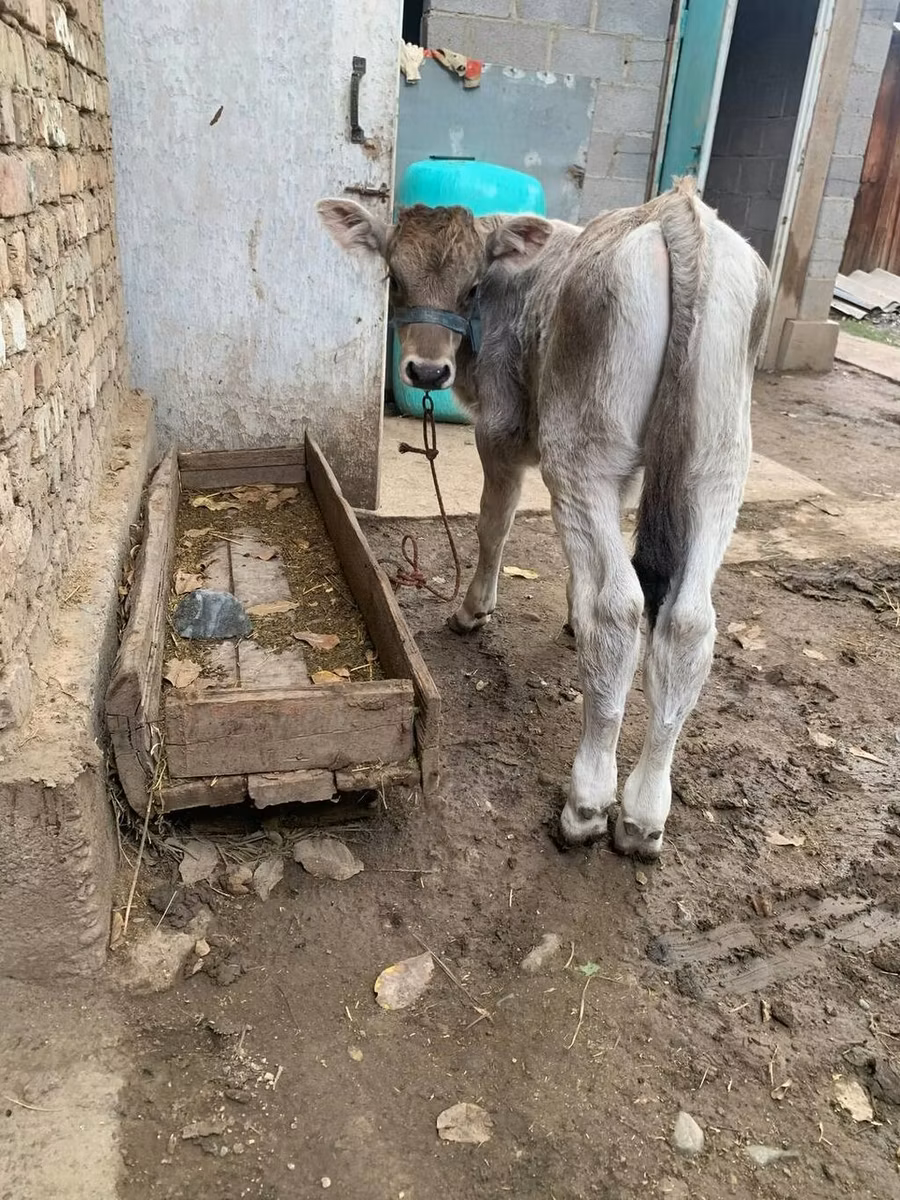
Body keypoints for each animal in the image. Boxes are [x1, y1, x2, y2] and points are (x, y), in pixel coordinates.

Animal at [317, 179, 771, 859]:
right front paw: (567, 616)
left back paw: (588, 803)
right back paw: (645, 811)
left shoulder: (500, 432)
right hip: (716, 467)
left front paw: (473, 610)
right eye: (395, 276)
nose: (426, 372)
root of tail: (675, 208)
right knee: (688, 621)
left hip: (581, 449)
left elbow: (494, 524)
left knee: (620, 609)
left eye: (471, 287)